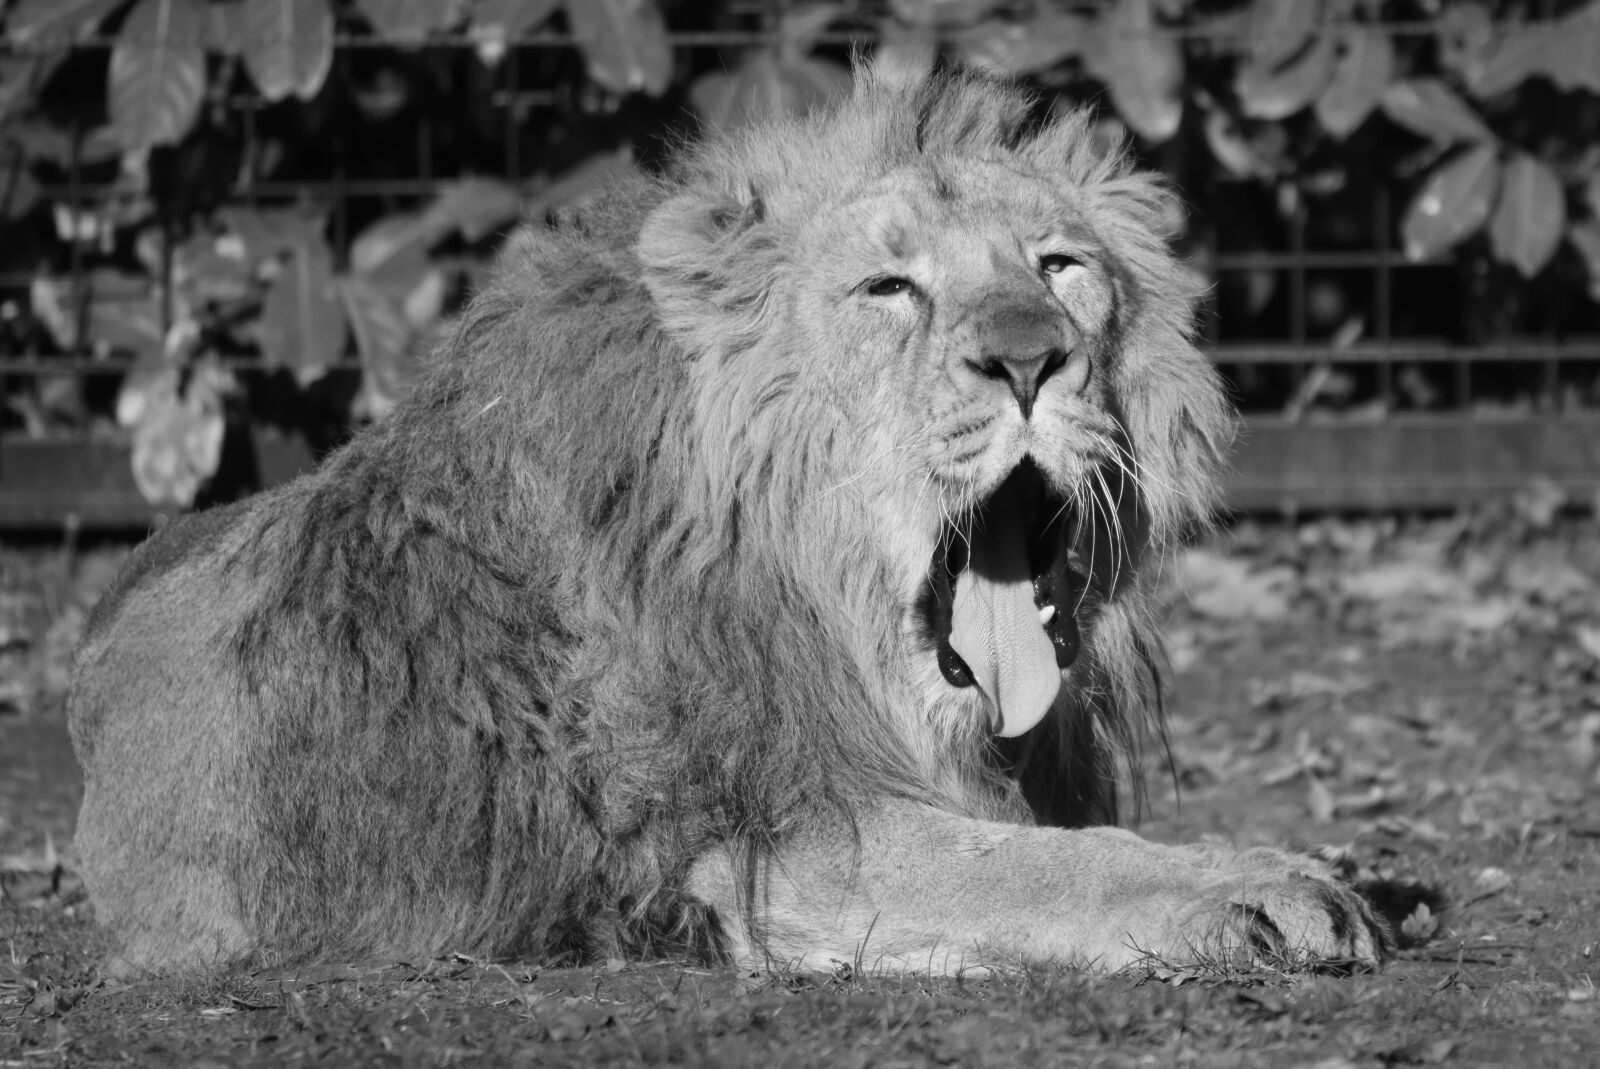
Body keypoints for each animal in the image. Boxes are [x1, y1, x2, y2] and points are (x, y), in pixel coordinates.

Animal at [68, 61, 1388, 977]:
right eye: (888, 289)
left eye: (1061, 266)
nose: (1028, 358)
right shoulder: (777, 839)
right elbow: (1037, 867)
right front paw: (1259, 882)